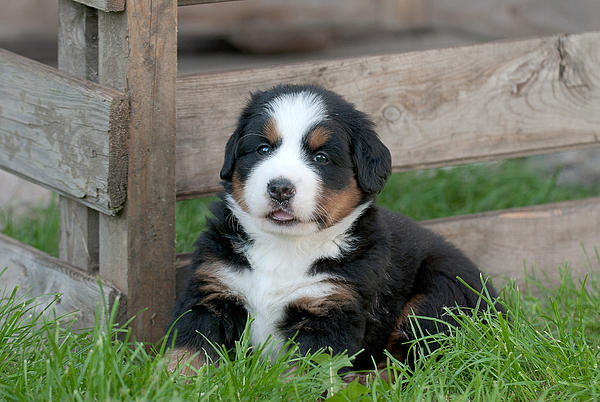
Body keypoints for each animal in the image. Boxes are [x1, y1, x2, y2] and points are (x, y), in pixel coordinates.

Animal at [166, 83, 500, 376]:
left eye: (321, 157)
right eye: (262, 149)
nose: (280, 188)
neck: (283, 248)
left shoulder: (331, 309)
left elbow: (303, 373)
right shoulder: (212, 290)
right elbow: (188, 348)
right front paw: (171, 382)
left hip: (438, 296)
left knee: (413, 367)